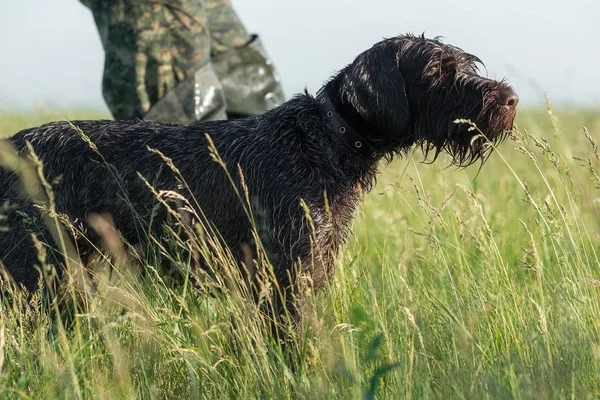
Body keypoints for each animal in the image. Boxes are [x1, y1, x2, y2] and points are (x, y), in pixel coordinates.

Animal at [0, 33, 516, 322]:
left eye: (465, 64)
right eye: (437, 69)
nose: (507, 99)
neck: (325, 137)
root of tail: (11, 147)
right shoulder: (287, 278)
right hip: (32, 278)